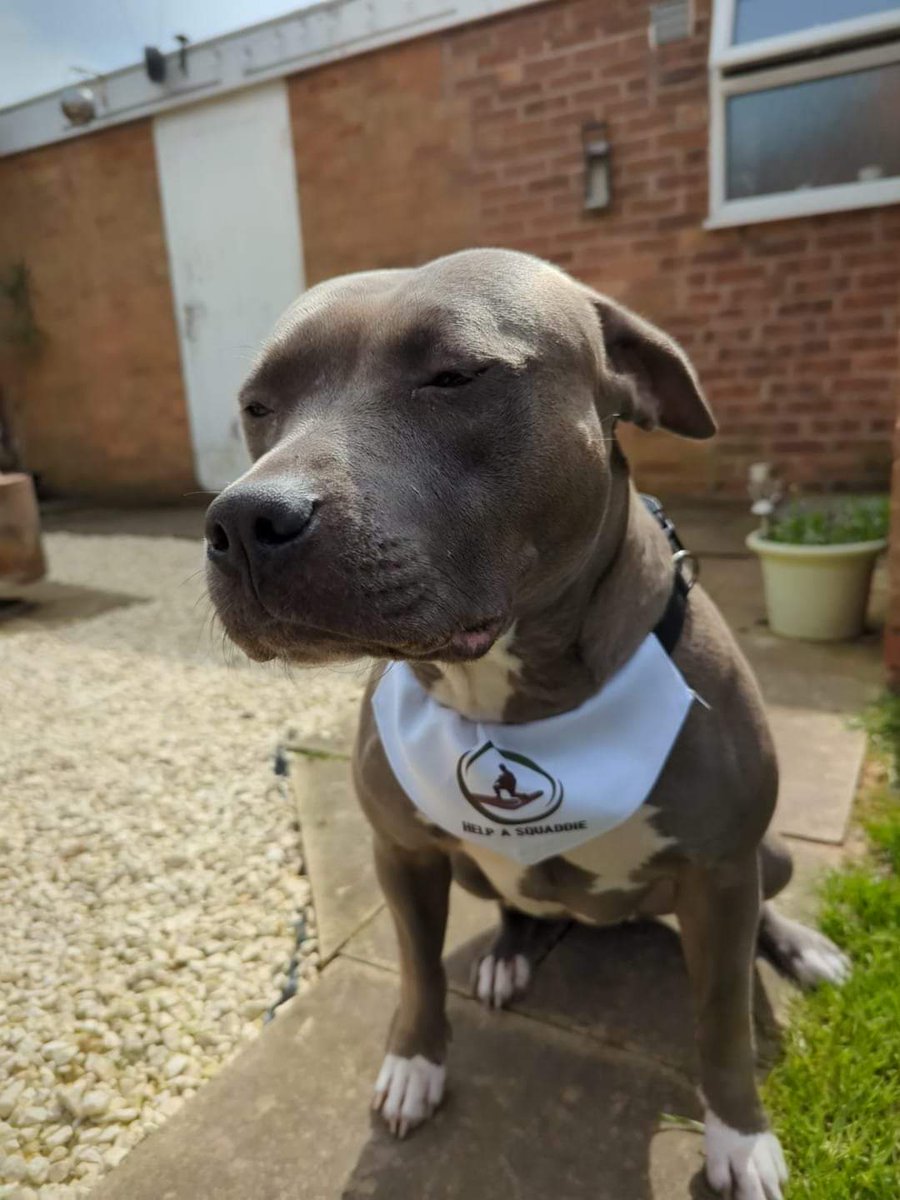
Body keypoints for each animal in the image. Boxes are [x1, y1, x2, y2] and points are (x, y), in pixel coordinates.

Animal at [207, 248, 849, 1195]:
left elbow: (722, 1017)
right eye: (258, 405)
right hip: (468, 870)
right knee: (511, 901)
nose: (246, 518)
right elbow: (416, 973)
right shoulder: (401, 853)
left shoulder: (721, 871)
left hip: (766, 855)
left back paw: (801, 949)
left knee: (761, 919)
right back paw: (510, 953)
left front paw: (739, 1136)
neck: (510, 700)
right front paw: (415, 1064)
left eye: (454, 376)